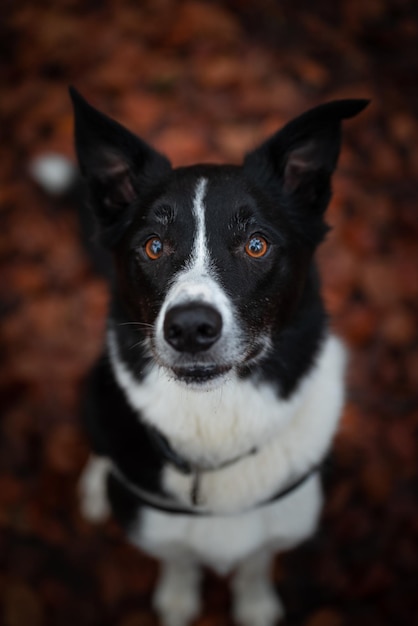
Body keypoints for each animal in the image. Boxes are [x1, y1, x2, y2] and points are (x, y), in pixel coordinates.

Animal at [64, 89, 366, 624]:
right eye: (153, 246)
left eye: (256, 245)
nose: (189, 328)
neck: (217, 419)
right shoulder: (154, 526)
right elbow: (178, 558)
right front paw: (178, 597)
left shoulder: (284, 518)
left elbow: (256, 560)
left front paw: (255, 603)